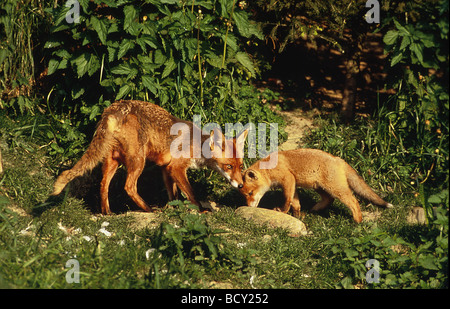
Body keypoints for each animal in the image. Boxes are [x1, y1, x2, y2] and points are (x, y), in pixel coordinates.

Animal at [54, 100, 250, 213]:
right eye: (228, 167)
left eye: (240, 167)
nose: (241, 185)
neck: (197, 146)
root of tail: (115, 107)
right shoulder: (176, 168)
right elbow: (191, 193)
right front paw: (201, 210)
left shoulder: (166, 168)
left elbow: (173, 194)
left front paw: (173, 207)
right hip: (138, 161)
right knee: (129, 186)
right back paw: (148, 209)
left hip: (112, 160)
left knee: (103, 185)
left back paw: (107, 213)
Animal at [237, 149, 392, 223]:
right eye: (244, 196)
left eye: (250, 193)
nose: (248, 207)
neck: (269, 168)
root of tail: (339, 159)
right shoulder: (293, 184)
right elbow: (296, 203)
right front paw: (297, 216)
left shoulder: (288, 179)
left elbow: (287, 200)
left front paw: (282, 211)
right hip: (319, 187)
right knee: (329, 200)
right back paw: (316, 209)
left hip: (335, 189)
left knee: (353, 201)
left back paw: (357, 222)